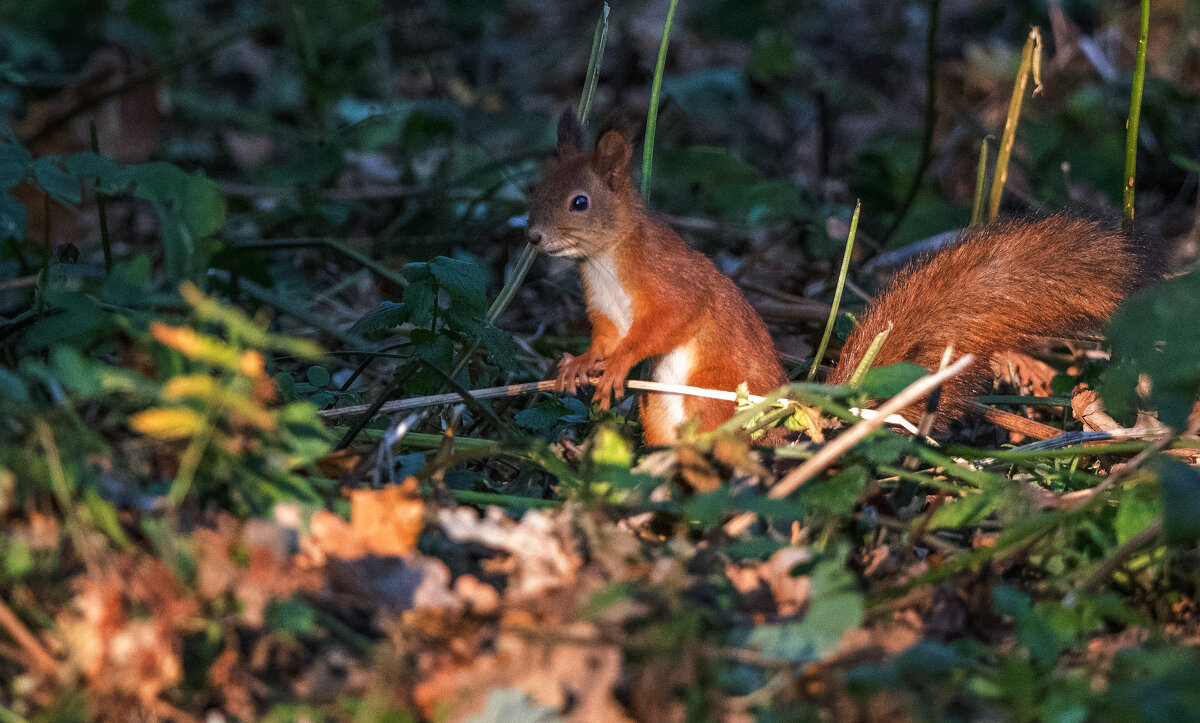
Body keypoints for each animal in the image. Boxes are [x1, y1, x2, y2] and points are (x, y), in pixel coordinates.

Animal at [530, 110, 1156, 441]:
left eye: (580, 202)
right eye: (539, 188)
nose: (532, 236)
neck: (606, 262)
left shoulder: (669, 285)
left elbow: (662, 326)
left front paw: (615, 368)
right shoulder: (604, 310)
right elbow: (605, 338)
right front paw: (579, 365)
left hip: (713, 394)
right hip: (662, 411)